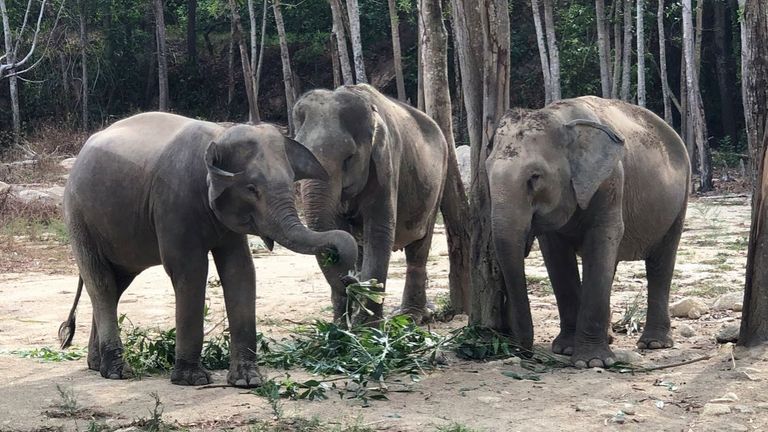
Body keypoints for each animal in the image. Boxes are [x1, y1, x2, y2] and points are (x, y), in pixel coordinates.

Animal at [58, 112, 357, 387]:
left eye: (292, 180)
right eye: (251, 189)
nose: (348, 277)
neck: (220, 134)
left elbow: (240, 270)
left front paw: (248, 381)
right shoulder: (174, 203)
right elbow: (191, 271)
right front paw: (192, 379)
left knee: (115, 284)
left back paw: (97, 365)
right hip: (78, 216)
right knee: (102, 283)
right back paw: (117, 371)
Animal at [292, 84, 448, 323]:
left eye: (348, 158)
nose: (350, 281)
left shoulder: (386, 165)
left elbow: (379, 231)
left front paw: (367, 325)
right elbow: (338, 230)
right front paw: (340, 326)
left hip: (438, 185)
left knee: (419, 248)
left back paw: (411, 315)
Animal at [486, 96, 690, 368]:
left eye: (535, 177)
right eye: (487, 172)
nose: (523, 351)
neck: (560, 118)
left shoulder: (611, 180)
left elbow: (602, 238)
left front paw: (591, 362)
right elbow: (557, 255)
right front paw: (565, 349)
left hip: (679, 201)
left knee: (661, 262)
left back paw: (654, 343)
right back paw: (611, 338)